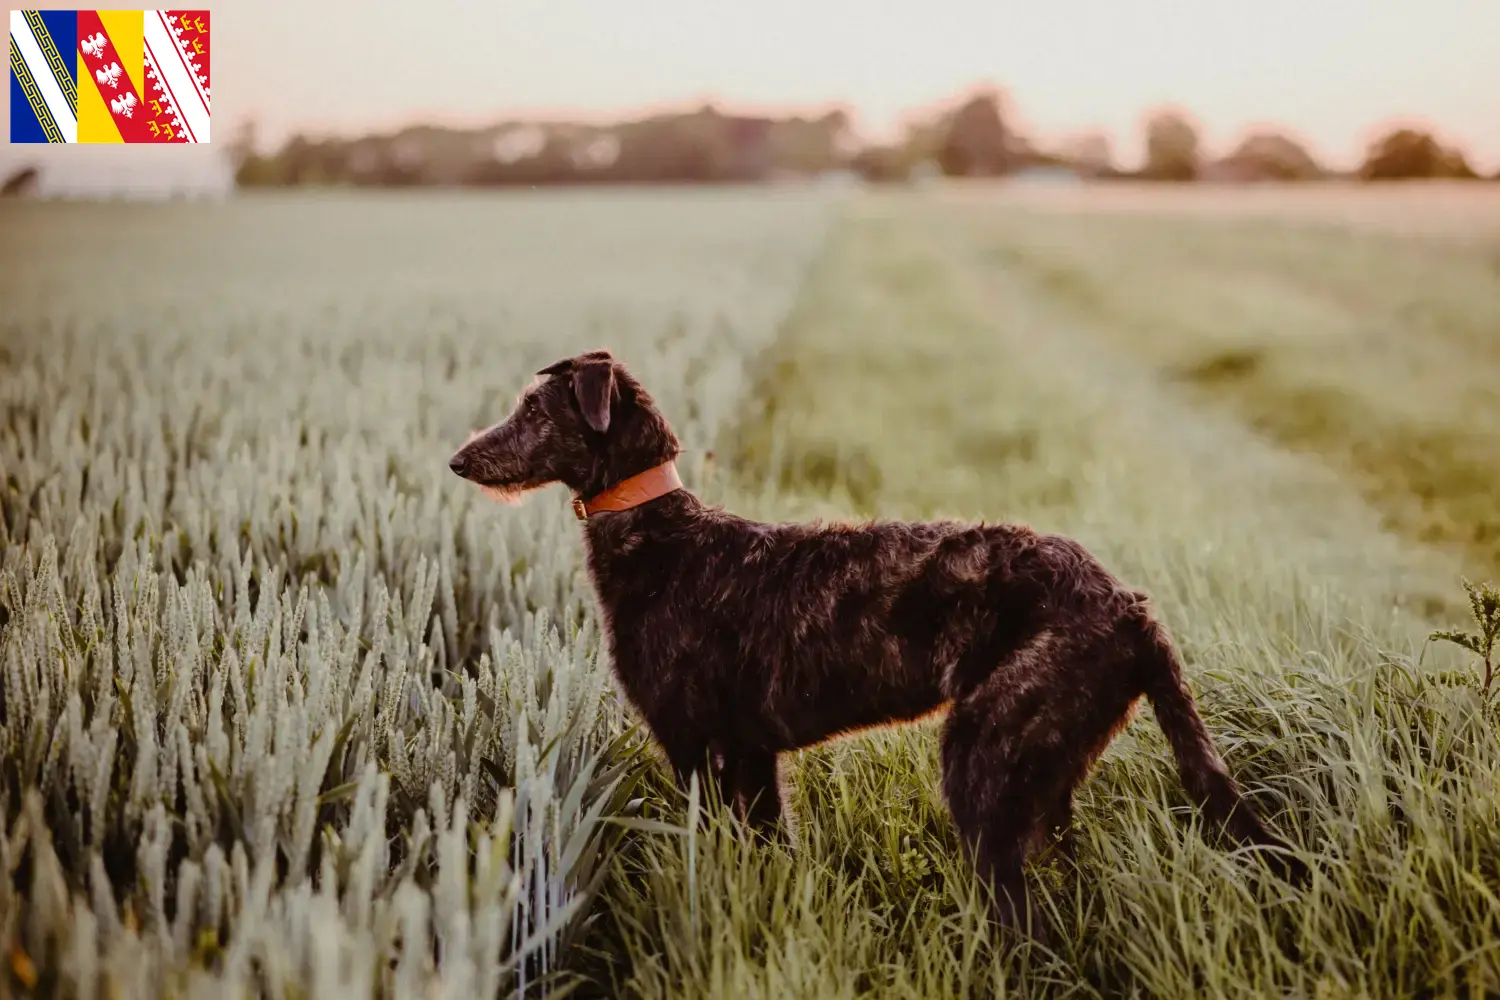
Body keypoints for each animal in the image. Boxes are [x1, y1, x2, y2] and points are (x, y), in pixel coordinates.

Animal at [444, 347, 1302, 935]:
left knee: (1020, 916)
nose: (456, 458)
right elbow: (770, 851)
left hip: (985, 759)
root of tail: (1131, 608)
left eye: (535, 410)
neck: (664, 537)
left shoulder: (695, 749)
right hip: (1048, 776)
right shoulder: (752, 757)